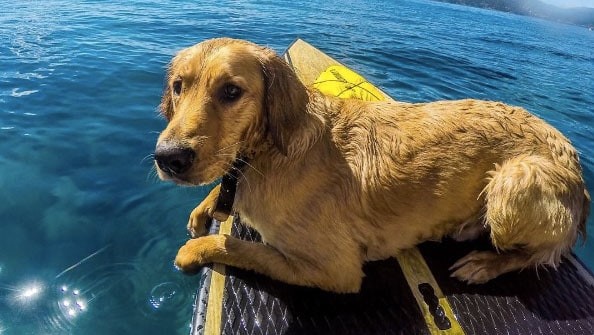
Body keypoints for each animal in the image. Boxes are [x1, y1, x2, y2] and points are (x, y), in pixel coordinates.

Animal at [153, 37, 588, 294]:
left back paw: (483, 262)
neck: (268, 153)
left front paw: (194, 249)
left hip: (514, 181)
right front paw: (204, 209)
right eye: (178, 86)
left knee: (545, 254)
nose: (169, 158)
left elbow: (237, 247)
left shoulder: (336, 269)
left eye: (231, 91)